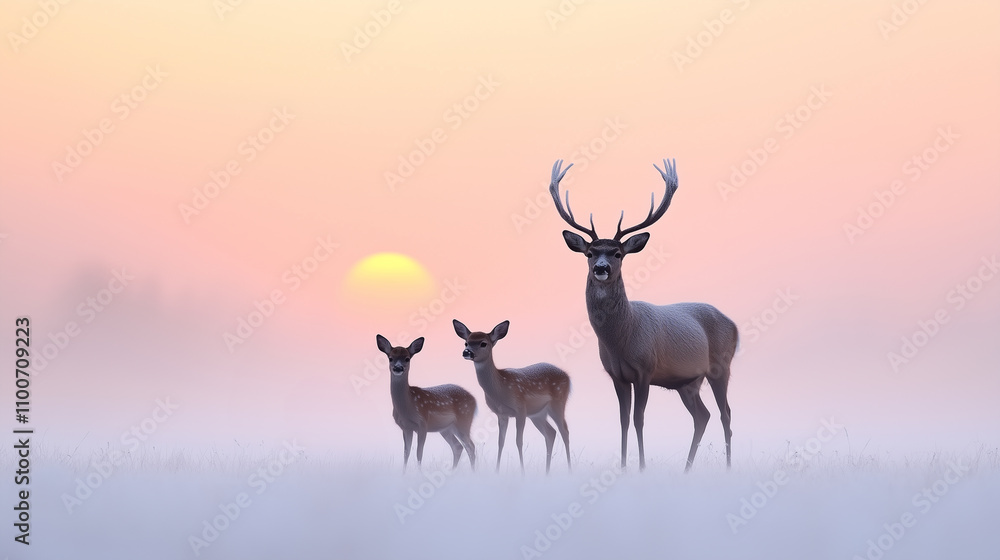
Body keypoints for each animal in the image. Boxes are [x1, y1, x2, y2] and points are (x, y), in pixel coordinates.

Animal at [376, 334, 477, 470]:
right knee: (458, 446)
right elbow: (406, 453)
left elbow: (419, 453)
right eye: (390, 358)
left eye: (407, 358)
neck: (407, 406)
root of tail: (474, 400)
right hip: (447, 428)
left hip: (463, 421)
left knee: (470, 446)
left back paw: (473, 472)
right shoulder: (406, 427)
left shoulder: (422, 423)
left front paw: (419, 473)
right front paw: (403, 473)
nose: (398, 368)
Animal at [452, 319, 571, 474]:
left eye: (483, 343)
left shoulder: (520, 409)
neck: (500, 389)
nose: (467, 352)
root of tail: (568, 377)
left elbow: (518, 441)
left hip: (558, 402)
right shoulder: (502, 414)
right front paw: (497, 471)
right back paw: (547, 472)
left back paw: (570, 469)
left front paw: (523, 472)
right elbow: (501, 442)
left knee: (564, 431)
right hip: (538, 414)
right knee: (551, 433)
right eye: (466, 343)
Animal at [548, 158, 738, 472]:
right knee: (703, 416)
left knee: (726, 414)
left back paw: (728, 467)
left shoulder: (646, 370)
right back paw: (687, 468)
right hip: (688, 382)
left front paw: (641, 467)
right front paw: (625, 466)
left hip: (721, 366)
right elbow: (623, 421)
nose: (601, 268)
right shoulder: (617, 375)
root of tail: (734, 324)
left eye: (618, 253)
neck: (621, 339)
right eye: (589, 253)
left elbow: (639, 420)